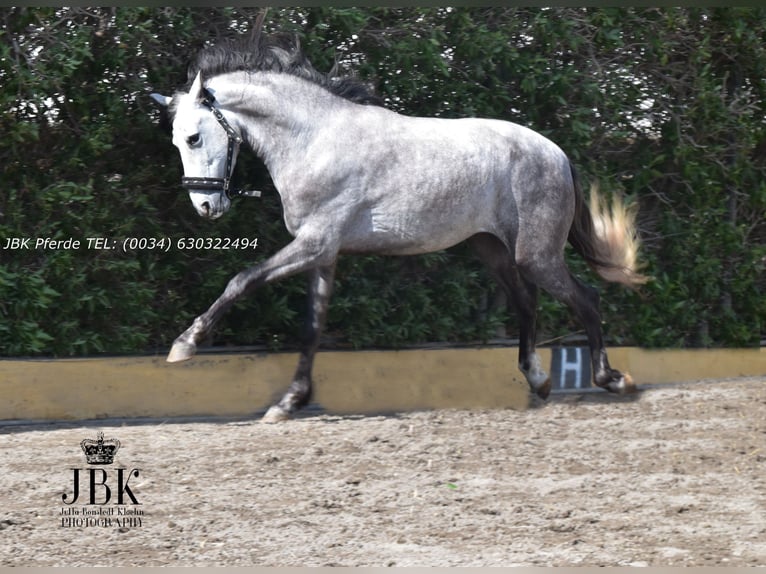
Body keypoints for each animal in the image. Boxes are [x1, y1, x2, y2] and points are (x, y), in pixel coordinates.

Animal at [151, 31, 647, 422]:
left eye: (193, 137)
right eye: (174, 141)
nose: (206, 206)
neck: (315, 139)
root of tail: (557, 154)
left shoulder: (315, 244)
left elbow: (241, 281)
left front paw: (185, 345)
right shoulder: (323, 254)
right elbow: (312, 327)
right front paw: (288, 403)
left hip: (536, 255)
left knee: (586, 299)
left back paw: (614, 380)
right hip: (492, 249)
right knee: (527, 304)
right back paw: (539, 381)